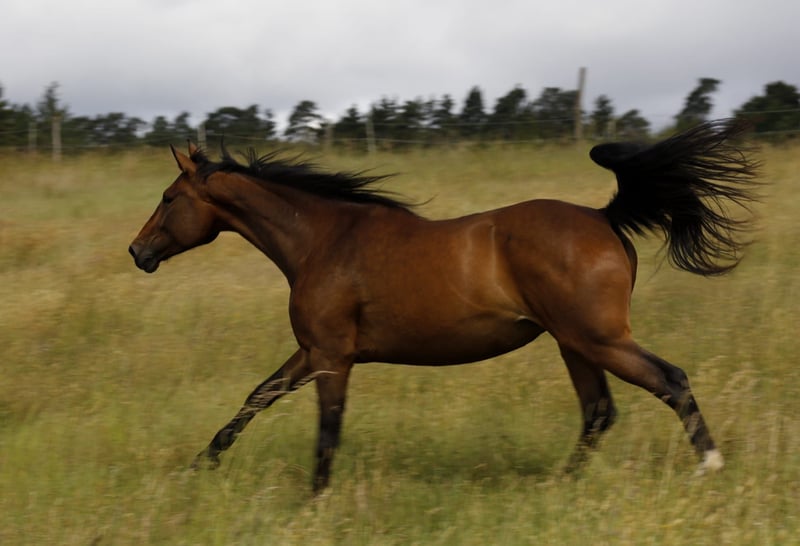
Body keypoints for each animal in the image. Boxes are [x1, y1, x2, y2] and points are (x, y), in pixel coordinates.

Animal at [129, 119, 760, 492]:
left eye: (168, 198)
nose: (138, 252)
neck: (322, 241)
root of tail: (605, 217)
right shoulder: (311, 352)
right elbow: (255, 398)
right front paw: (198, 467)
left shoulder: (332, 356)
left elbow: (327, 429)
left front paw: (315, 499)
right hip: (574, 344)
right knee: (599, 411)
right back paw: (557, 485)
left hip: (599, 339)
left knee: (669, 380)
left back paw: (709, 466)